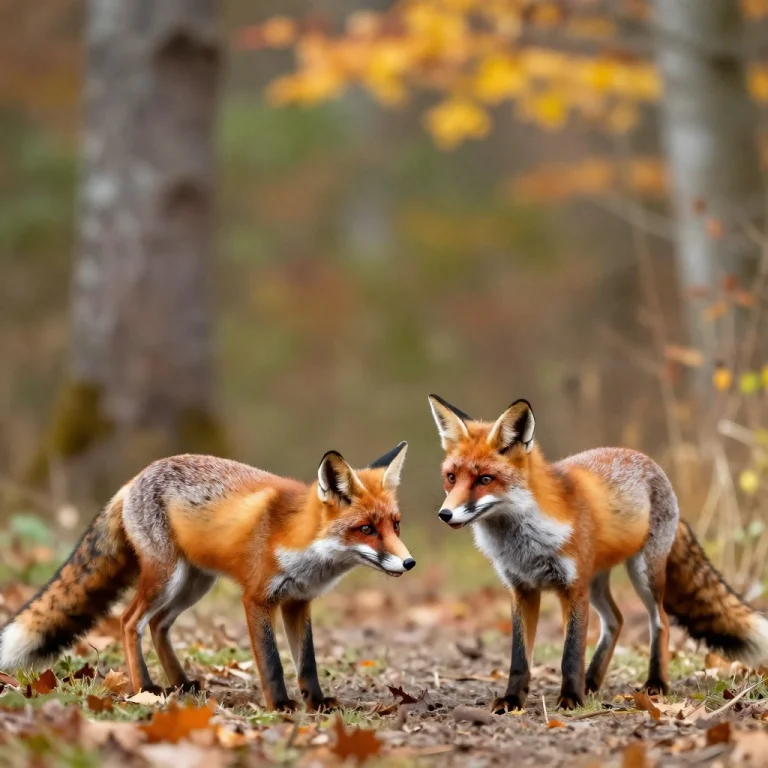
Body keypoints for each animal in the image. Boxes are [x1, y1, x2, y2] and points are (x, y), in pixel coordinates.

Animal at [0, 444, 415, 711]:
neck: (302, 543)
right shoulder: (257, 598)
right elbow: (272, 662)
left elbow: (307, 662)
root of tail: (133, 480)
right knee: (130, 621)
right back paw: (145, 688)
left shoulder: (298, 601)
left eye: (395, 525)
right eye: (365, 529)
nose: (409, 563)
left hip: (193, 585)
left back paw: (181, 682)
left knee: (158, 625)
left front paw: (317, 703)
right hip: (165, 578)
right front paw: (281, 705)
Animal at [428, 394, 768, 712]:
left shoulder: (573, 589)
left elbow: (571, 653)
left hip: (642, 575)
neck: (524, 543)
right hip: (596, 581)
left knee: (660, 621)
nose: (445, 514)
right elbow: (520, 659)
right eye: (451, 478)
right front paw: (513, 700)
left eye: (485, 479)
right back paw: (592, 680)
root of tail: (649, 463)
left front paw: (570, 699)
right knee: (616, 620)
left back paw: (655, 683)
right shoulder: (522, 590)